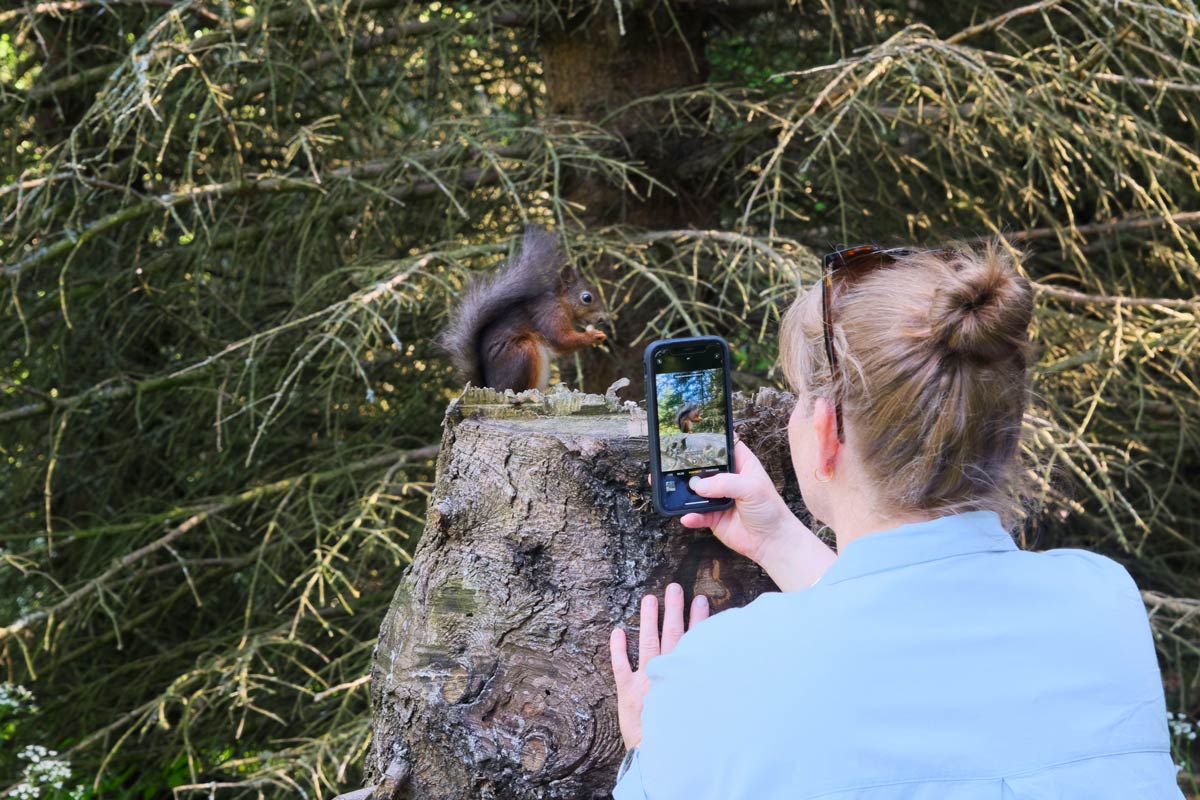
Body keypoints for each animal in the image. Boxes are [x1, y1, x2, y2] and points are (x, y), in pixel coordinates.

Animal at [440, 226, 608, 393]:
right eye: (587, 298)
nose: (602, 318)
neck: (560, 302)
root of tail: (492, 387)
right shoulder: (549, 314)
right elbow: (561, 339)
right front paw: (592, 336)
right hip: (522, 353)